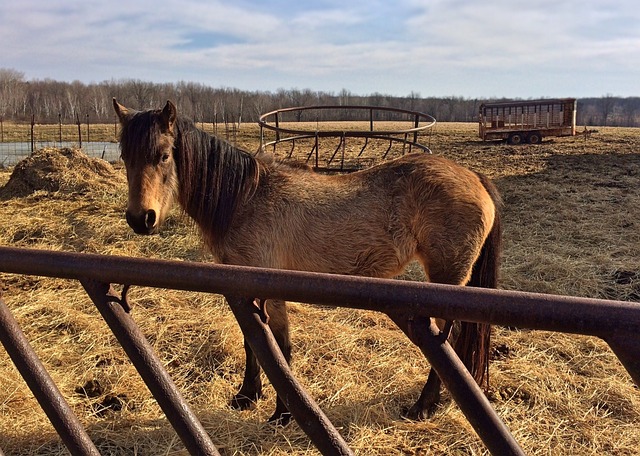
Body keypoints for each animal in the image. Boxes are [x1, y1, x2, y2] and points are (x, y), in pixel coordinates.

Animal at [116, 99, 504, 424]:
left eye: (164, 155)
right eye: (124, 156)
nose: (140, 219)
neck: (244, 199)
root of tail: (475, 177)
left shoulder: (266, 288)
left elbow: (277, 347)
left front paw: (283, 413)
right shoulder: (244, 289)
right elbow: (254, 343)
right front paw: (248, 395)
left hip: (446, 277)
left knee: (445, 344)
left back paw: (423, 406)